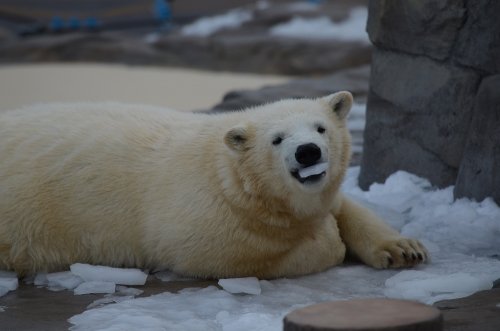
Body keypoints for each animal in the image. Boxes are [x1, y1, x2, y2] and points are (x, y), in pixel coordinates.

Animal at [0, 92, 428, 278]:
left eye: (320, 128)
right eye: (277, 139)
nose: (307, 152)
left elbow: (345, 206)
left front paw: (403, 249)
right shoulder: (206, 211)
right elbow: (216, 254)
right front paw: (328, 240)